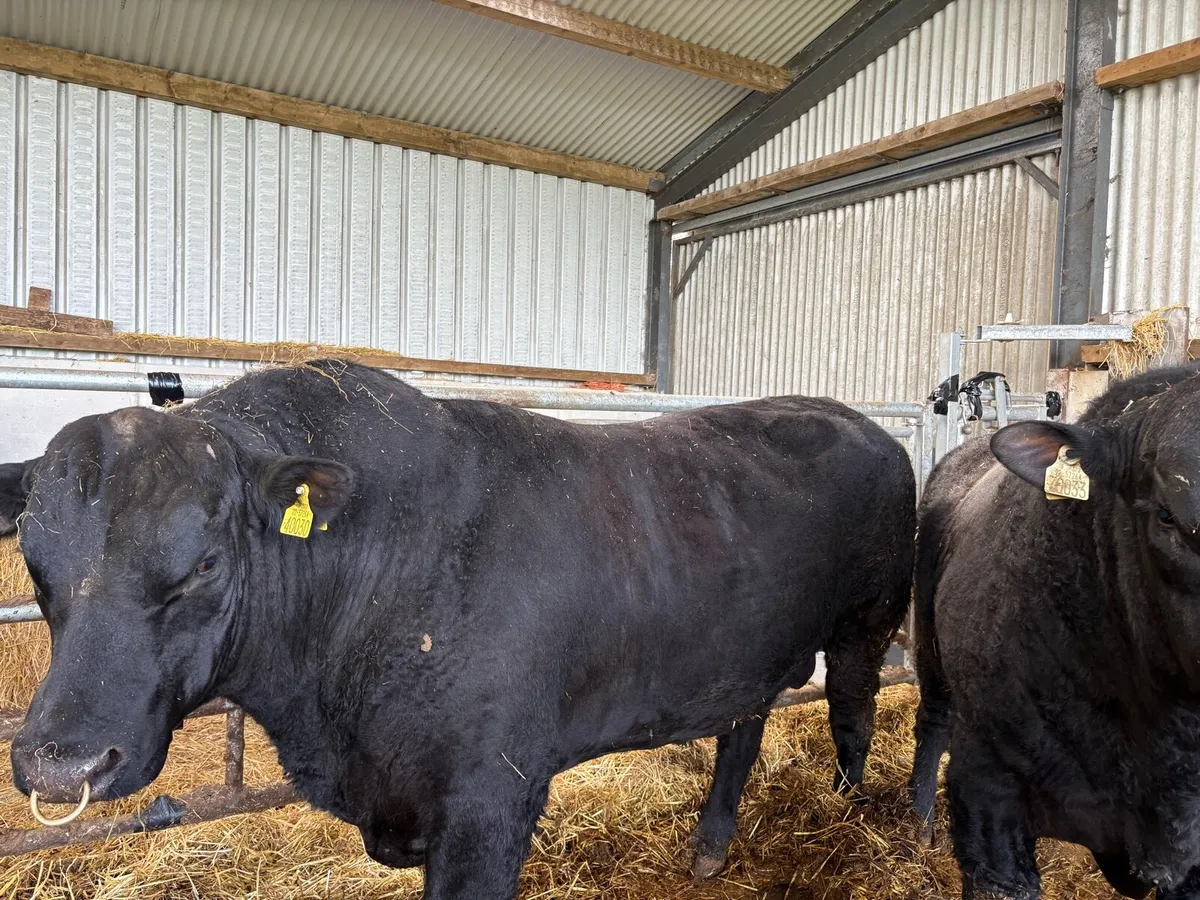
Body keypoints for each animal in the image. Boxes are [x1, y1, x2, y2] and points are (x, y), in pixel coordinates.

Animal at [4, 361, 915, 899]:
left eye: (202, 564)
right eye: (36, 566)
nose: (60, 764)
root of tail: (854, 418)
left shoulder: (490, 799)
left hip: (868, 625)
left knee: (854, 714)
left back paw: (851, 809)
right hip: (743, 653)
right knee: (743, 727)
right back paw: (711, 845)